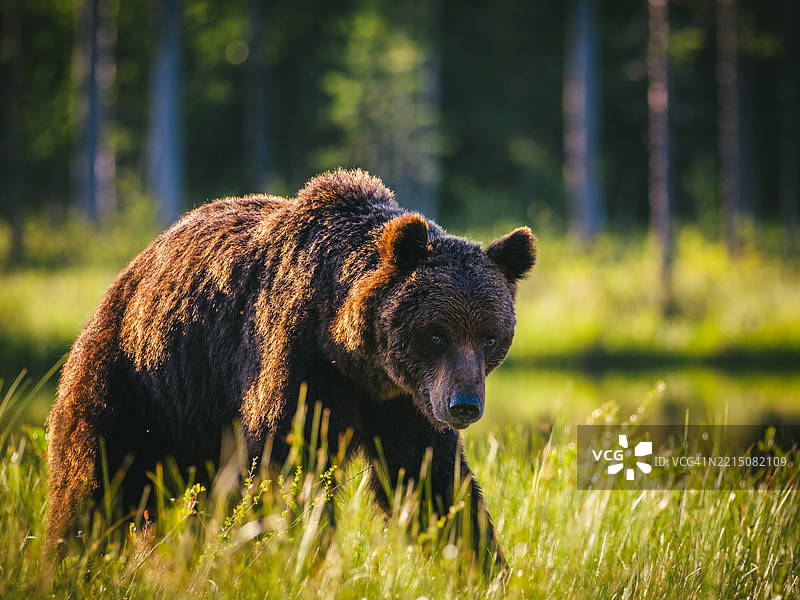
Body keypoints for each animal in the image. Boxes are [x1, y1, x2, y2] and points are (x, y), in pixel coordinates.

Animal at [45, 168, 536, 571]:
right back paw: (70, 561)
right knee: (93, 484)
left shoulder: (406, 401)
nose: (464, 405)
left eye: (489, 337)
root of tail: (126, 279)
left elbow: (431, 483)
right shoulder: (298, 365)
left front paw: (481, 566)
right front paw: (303, 557)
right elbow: (290, 467)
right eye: (436, 335)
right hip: (135, 383)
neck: (352, 356)